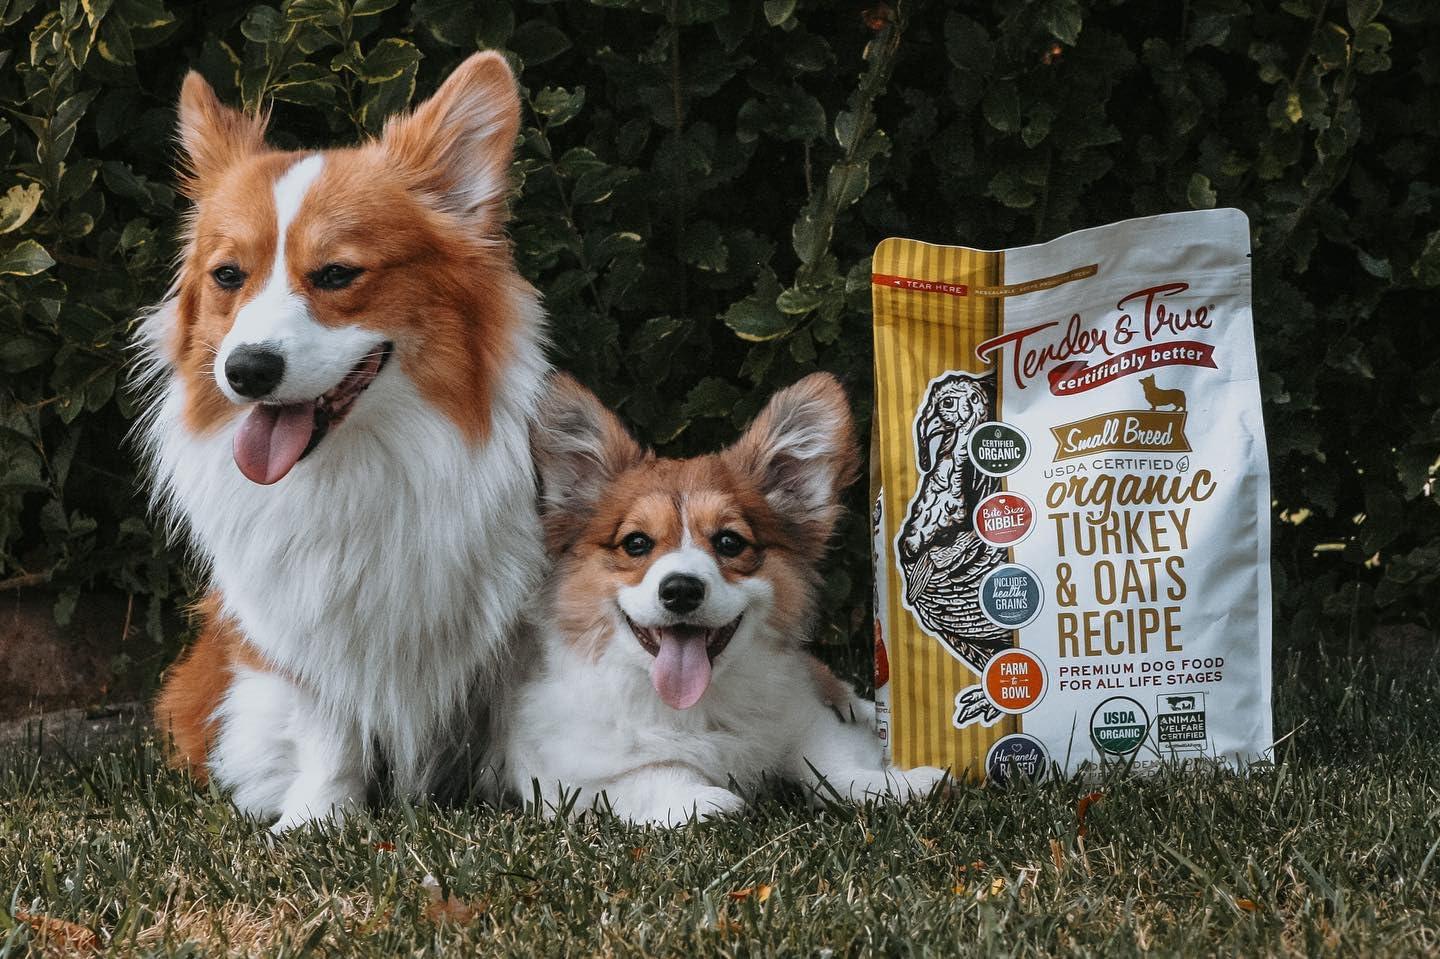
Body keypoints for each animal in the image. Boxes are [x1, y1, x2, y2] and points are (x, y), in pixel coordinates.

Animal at [137, 53, 547, 829]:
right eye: (228, 276)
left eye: (335, 274)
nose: (247, 370)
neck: (362, 463)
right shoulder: (304, 631)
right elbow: (328, 726)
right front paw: (318, 820)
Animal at [509, 374, 956, 823]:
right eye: (636, 543)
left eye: (729, 542)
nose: (681, 590)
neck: (700, 706)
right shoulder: (567, 776)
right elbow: (649, 773)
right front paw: (702, 801)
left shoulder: (807, 720)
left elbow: (834, 766)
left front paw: (898, 784)